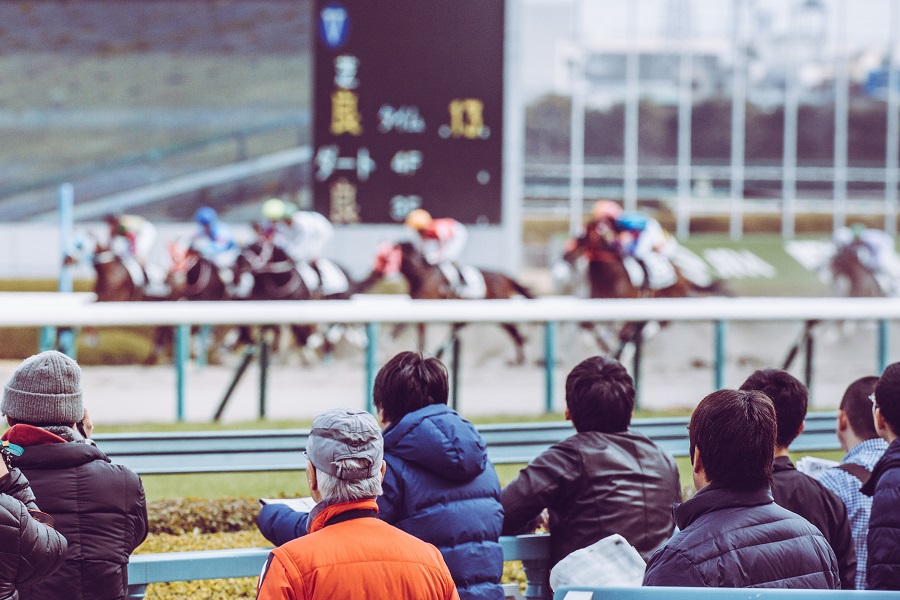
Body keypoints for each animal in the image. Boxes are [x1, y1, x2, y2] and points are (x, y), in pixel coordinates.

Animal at [368, 240, 536, 364]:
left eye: (383, 258)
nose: (371, 274)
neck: (421, 275)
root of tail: (504, 276)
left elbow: (402, 330)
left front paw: (380, 351)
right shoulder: (418, 310)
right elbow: (412, 334)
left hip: (498, 309)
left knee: (514, 331)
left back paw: (520, 358)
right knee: (458, 328)